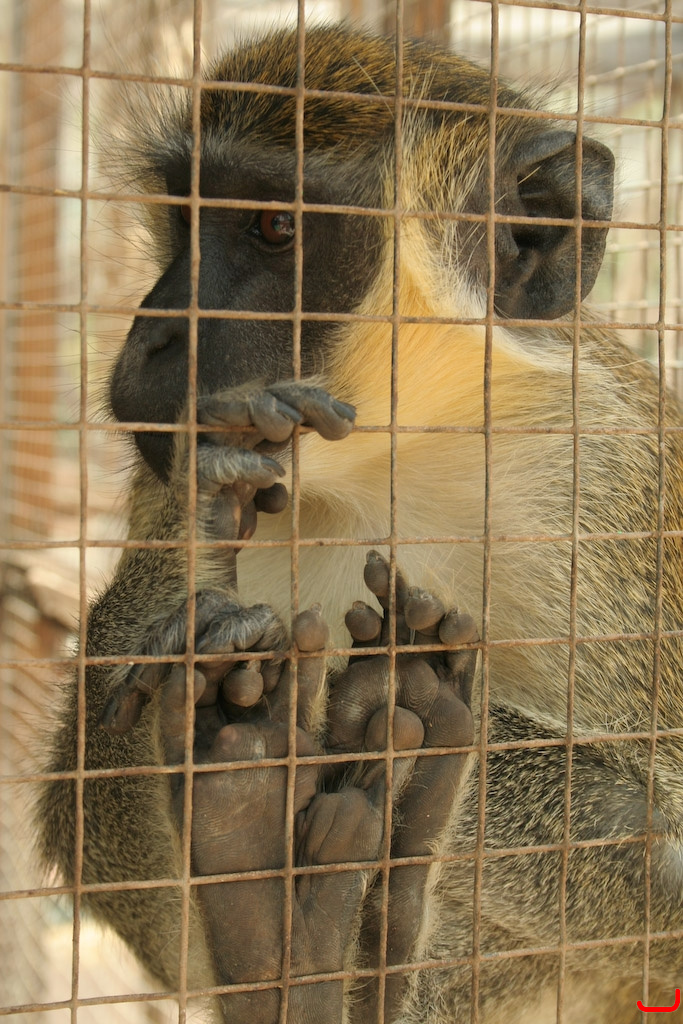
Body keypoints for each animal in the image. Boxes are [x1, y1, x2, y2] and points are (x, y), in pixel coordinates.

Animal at [36, 23, 682, 1024]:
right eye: (186, 213)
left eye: (273, 228)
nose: (155, 332)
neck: (392, 457)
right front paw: (192, 544)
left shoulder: (614, 488)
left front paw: (383, 708)